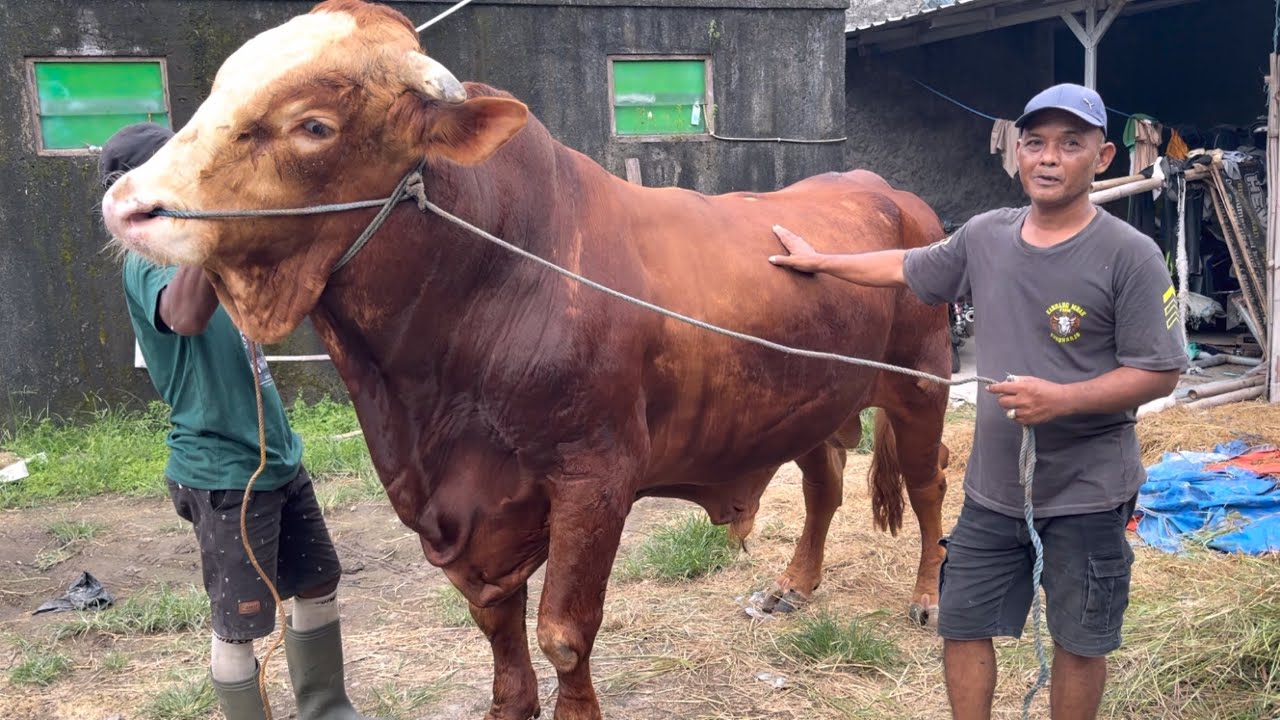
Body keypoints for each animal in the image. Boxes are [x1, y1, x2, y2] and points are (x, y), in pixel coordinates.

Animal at [101, 2, 951, 718]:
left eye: (313, 124)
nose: (126, 205)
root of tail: (890, 191)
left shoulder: (594, 479)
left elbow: (563, 633)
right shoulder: (462, 516)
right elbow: (497, 624)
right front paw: (509, 704)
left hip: (923, 383)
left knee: (929, 483)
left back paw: (931, 598)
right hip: (811, 399)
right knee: (824, 484)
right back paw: (794, 586)